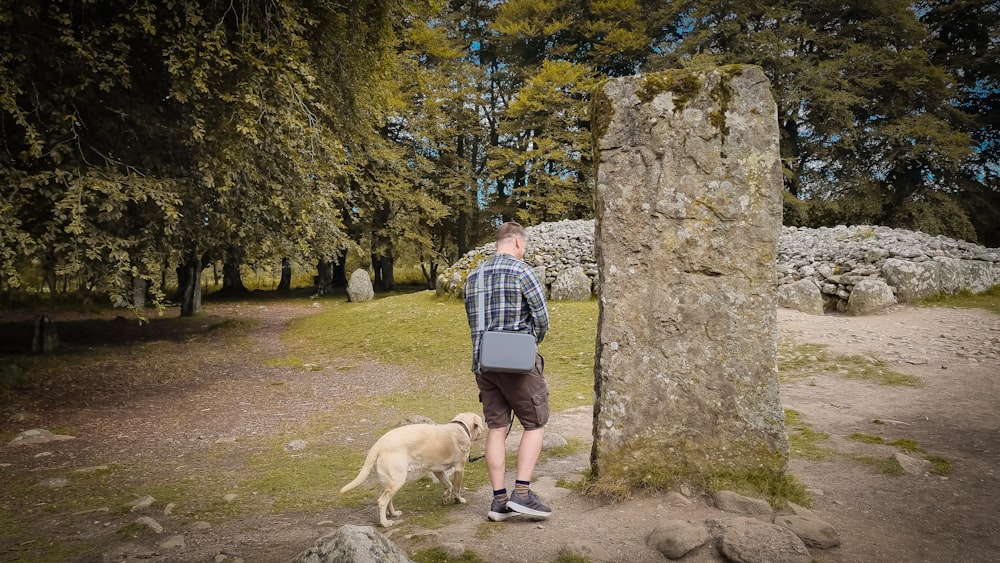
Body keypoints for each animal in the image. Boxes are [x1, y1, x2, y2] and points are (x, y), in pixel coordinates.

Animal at [342, 412, 482, 528]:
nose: (483, 430)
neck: (461, 427)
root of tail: (379, 444)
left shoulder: (437, 471)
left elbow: (449, 484)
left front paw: (446, 497)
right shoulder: (459, 469)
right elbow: (456, 488)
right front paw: (458, 500)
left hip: (391, 482)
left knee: (388, 500)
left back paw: (393, 514)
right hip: (397, 480)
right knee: (382, 502)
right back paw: (385, 523)